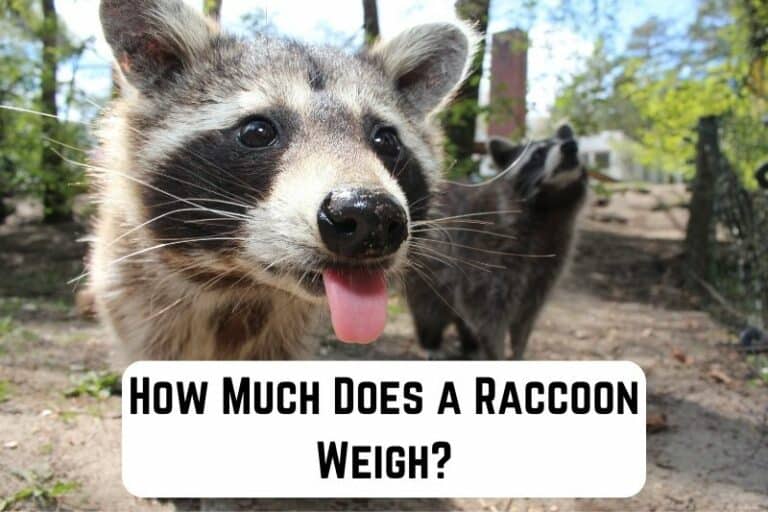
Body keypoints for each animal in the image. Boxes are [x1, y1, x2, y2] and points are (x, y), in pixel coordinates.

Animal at [405, 125, 588, 360]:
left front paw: (519, 351)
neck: (550, 208)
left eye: (575, 144)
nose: (570, 147)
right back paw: (431, 343)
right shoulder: (486, 251)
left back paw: (470, 346)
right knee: (428, 311)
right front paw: (496, 352)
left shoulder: (548, 263)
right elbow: (486, 315)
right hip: (425, 276)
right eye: (537, 155)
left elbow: (526, 317)